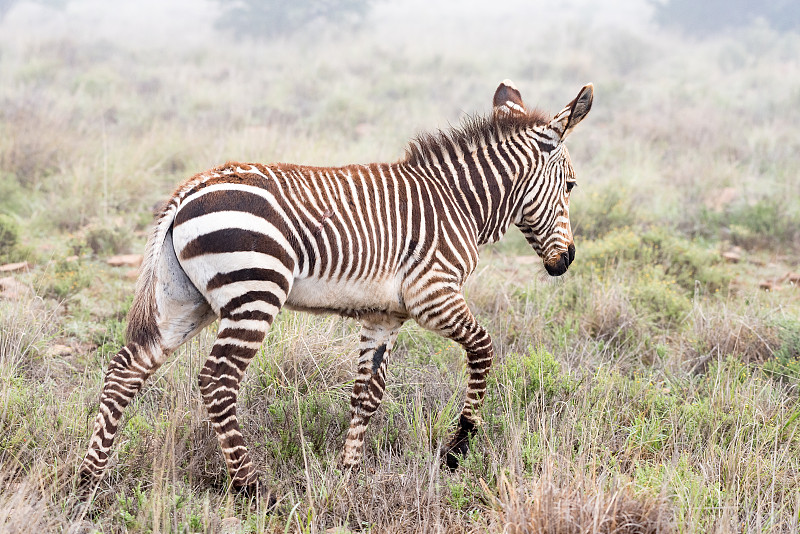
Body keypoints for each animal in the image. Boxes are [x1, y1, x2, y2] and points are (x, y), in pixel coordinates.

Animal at [78, 79, 592, 502]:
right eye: (570, 186)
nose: (565, 261)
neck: (459, 202)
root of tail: (189, 189)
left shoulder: (384, 315)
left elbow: (367, 392)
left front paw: (349, 474)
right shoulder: (434, 294)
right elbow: (483, 348)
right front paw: (458, 447)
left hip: (184, 301)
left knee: (125, 370)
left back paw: (88, 483)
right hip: (253, 292)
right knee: (218, 380)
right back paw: (253, 488)